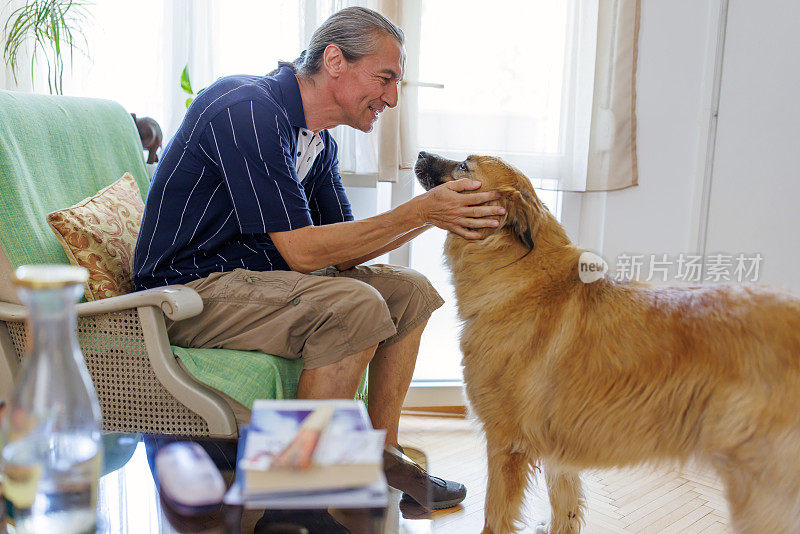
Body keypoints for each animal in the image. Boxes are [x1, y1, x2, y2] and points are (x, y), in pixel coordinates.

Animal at [416, 152, 800, 534]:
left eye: (464, 166)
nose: (419, 155)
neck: (518, 271)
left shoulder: (505, 441)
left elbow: (496, 516)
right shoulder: (554, 442)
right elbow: (565, 503)